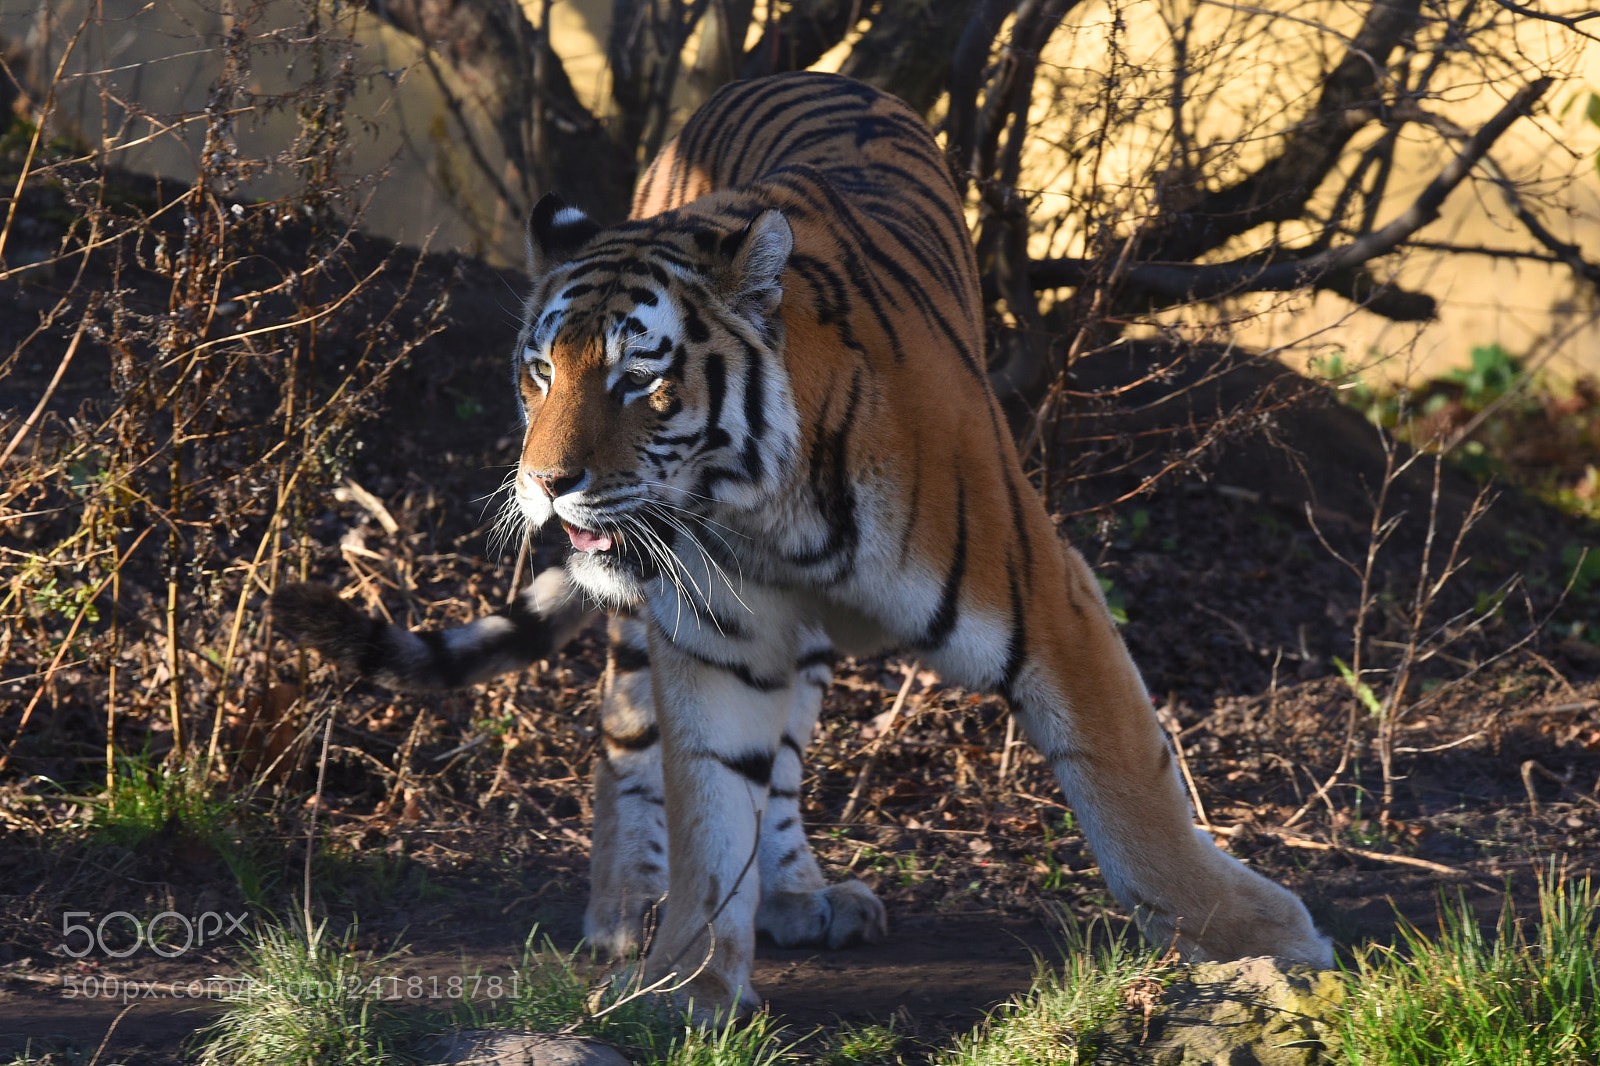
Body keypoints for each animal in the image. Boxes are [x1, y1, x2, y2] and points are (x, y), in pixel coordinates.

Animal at [272, 70, 1332, 1015]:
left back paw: (791, 895)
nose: (543, 483)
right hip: (650, 628)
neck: (764, 510)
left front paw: (1267, 940)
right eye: (540, 373)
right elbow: (708, 804)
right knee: (626, 734)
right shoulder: (712, 638)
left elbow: (1128, 788)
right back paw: (622, 909)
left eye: (636, 380)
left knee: (780, 764)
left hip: (806, 643)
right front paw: (683, 986)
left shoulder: (1047, 600)